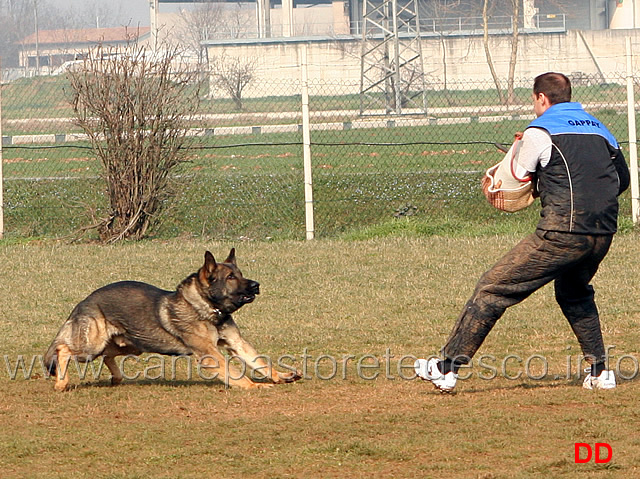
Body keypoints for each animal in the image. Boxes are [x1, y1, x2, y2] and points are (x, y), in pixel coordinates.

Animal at [45, 249, 300, 392]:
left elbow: (260, 362)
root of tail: (84, 301)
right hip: (91, 346)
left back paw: (116, 379)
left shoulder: (237, 344)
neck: (207, 308)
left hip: (131, 346)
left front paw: (280, 376)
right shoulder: (209, 353)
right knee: (63, 349)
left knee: (107, 356)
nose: (256, 286)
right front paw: (254, 386)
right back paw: (61, 383)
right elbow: (234, 371)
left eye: (240, 274)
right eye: (230, 277)